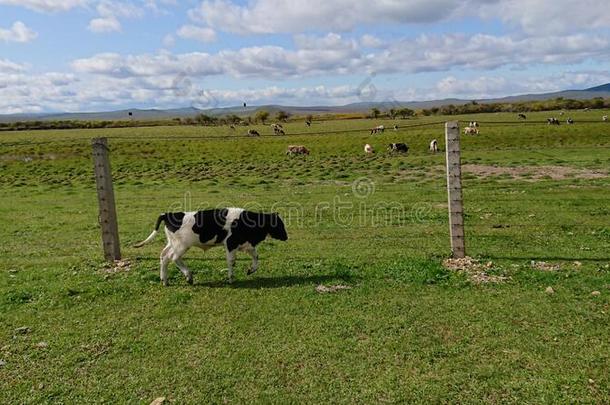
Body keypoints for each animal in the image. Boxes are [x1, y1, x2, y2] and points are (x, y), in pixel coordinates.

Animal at [134, 208, 286, 284]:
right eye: (279, 224)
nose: (286, 236)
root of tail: (168, 214)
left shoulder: (246, 244)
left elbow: (256, 256)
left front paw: (251, 270)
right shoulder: (230, 244)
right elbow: (231, 261)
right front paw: (231, 278)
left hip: (173, 243)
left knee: (164, 255)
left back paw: (175, 277)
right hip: (181, 246)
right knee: (171, 258)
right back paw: (173, 279)